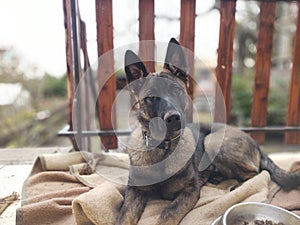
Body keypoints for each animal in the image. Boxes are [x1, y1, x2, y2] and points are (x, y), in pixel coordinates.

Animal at [116, 38, 300, 225]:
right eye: (151, 98)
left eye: (176, 90)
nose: (173, 118)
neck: (164, 149)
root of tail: (255, 143)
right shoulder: (134, 192)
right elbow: (124, 216)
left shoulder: (190, 190)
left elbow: (169, 212)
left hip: (212, 141)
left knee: (257, 174)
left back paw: (236, 187)